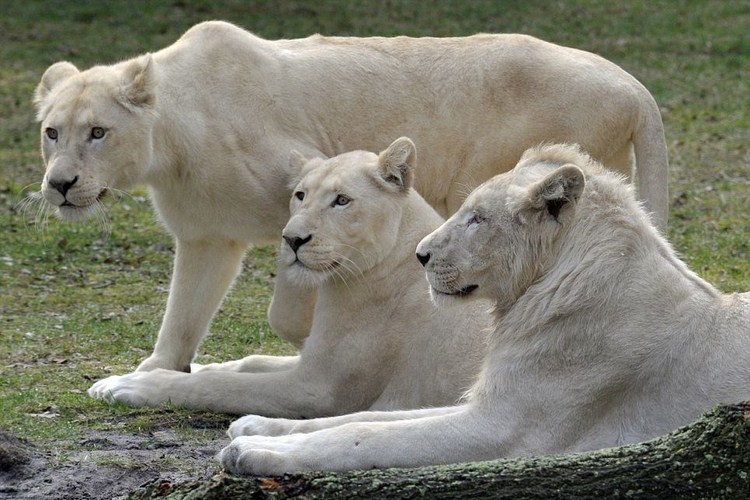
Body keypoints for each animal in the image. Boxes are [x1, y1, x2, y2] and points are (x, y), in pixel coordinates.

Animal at [32, 21, 672, 376]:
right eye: (52, 132)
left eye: (98, 132)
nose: (60, 184)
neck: (171, 143)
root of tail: (632, 83)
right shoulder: (207, 236)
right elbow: (183, 310)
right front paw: (160, 369)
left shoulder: (301, 203)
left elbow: (290, 299)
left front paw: (309, 337)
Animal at [86, 139, 494, 416]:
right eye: (300, 195)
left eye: (341, 200)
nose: (292, 239)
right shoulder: (311, 360)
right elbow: (249, 362)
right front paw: (188, 365)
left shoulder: (318, 389)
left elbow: (221, 385)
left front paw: (131, 384)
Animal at [220, 144, 748, 472]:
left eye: (477, 218)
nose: (420, 255)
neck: (526, 302)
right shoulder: (484, 403)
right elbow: (357, 419)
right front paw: (258, 427)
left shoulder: (505, 429)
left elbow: (366, 435)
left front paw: (255, 451)